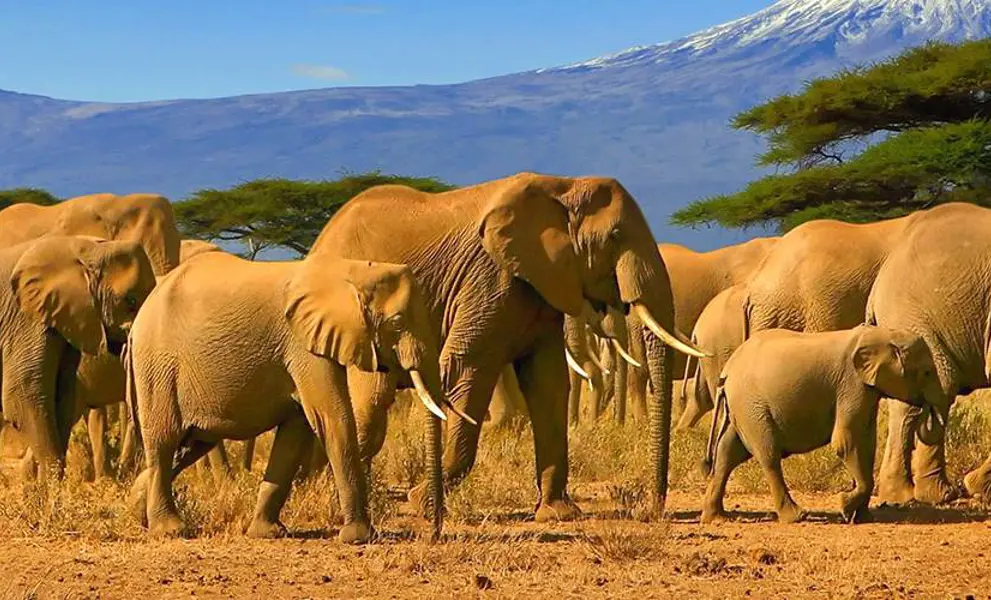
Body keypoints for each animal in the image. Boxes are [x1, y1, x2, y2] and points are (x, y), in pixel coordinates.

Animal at [125, 250, 450, 542]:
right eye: (397, 323)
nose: (433, 533)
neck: (352, 271)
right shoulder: (303, 346)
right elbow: (332, 419)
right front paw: (360, 537)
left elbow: (295, 433)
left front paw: (267, 533)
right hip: (157, 366)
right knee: (165, 441)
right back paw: (170, 530)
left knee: (190, 445)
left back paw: (138, 512)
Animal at [309, 172, 704, 520]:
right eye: (616, 235)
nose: (652, 509)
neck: (563, 185)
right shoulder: (490, 278)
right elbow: (469, 368)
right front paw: (422, 503)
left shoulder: (542, 286)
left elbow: (548, 383)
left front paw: (558, 513)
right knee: (371, 402)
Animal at [702, 326, 947, 525]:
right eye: (926, 372)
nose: (926, 407)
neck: (883, 334)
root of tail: (727, 371)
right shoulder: (852, 385)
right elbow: (846, 441)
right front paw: (844, 506)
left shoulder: (867, 390)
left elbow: (867, 444)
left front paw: (862, 517)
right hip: (752, 406)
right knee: (768, 455)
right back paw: (796, 516)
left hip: (742, 408)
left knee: (727, 453)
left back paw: (716, 518)